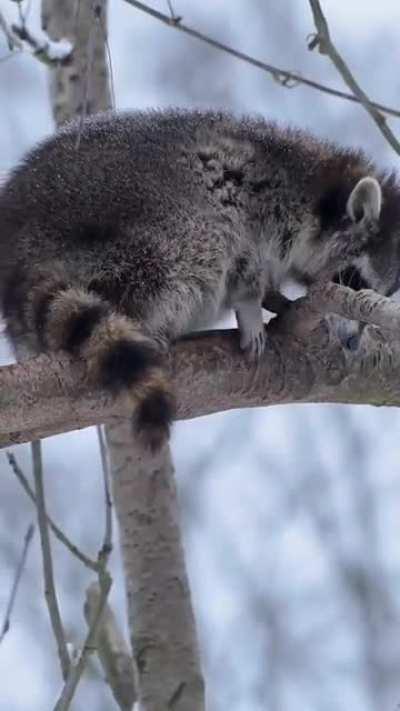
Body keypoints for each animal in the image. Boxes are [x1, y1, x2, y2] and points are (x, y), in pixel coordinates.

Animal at [0, 109, 398, 448]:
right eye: (354, 280)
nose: (352, 343)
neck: (314, 188)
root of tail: (20, 262)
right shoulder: (255, 208)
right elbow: (244, 259)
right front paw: (251, 304)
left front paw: (280, 300)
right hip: (136, 235)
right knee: (193, 248)